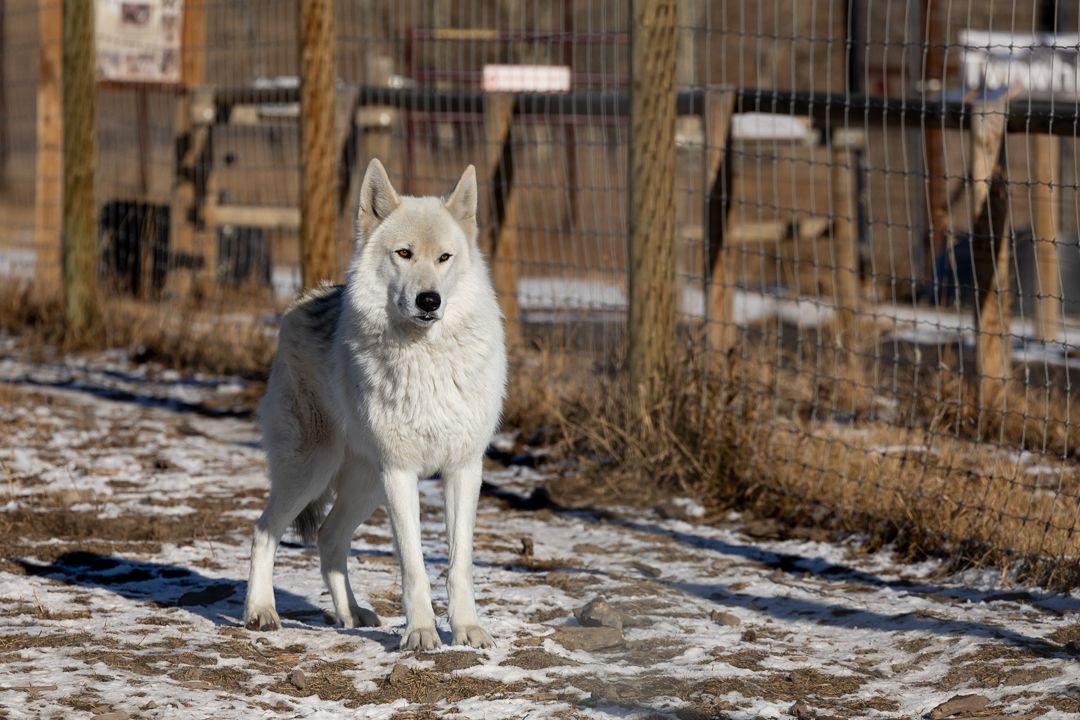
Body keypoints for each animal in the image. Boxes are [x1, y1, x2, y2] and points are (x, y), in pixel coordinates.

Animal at [242, 159, 507, 650]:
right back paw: (260, 611)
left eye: (444, 258)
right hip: (313, 472)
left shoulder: (464, 467)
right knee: (264, 530)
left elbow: (459, 565)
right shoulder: (400, 473)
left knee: (328, 538)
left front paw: (467, 629)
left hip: (364, 484)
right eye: (404, 253)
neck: (427, 362)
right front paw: (421, 634)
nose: (429, 300)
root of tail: (302, 299)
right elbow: (414, 567)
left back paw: (350, 613)